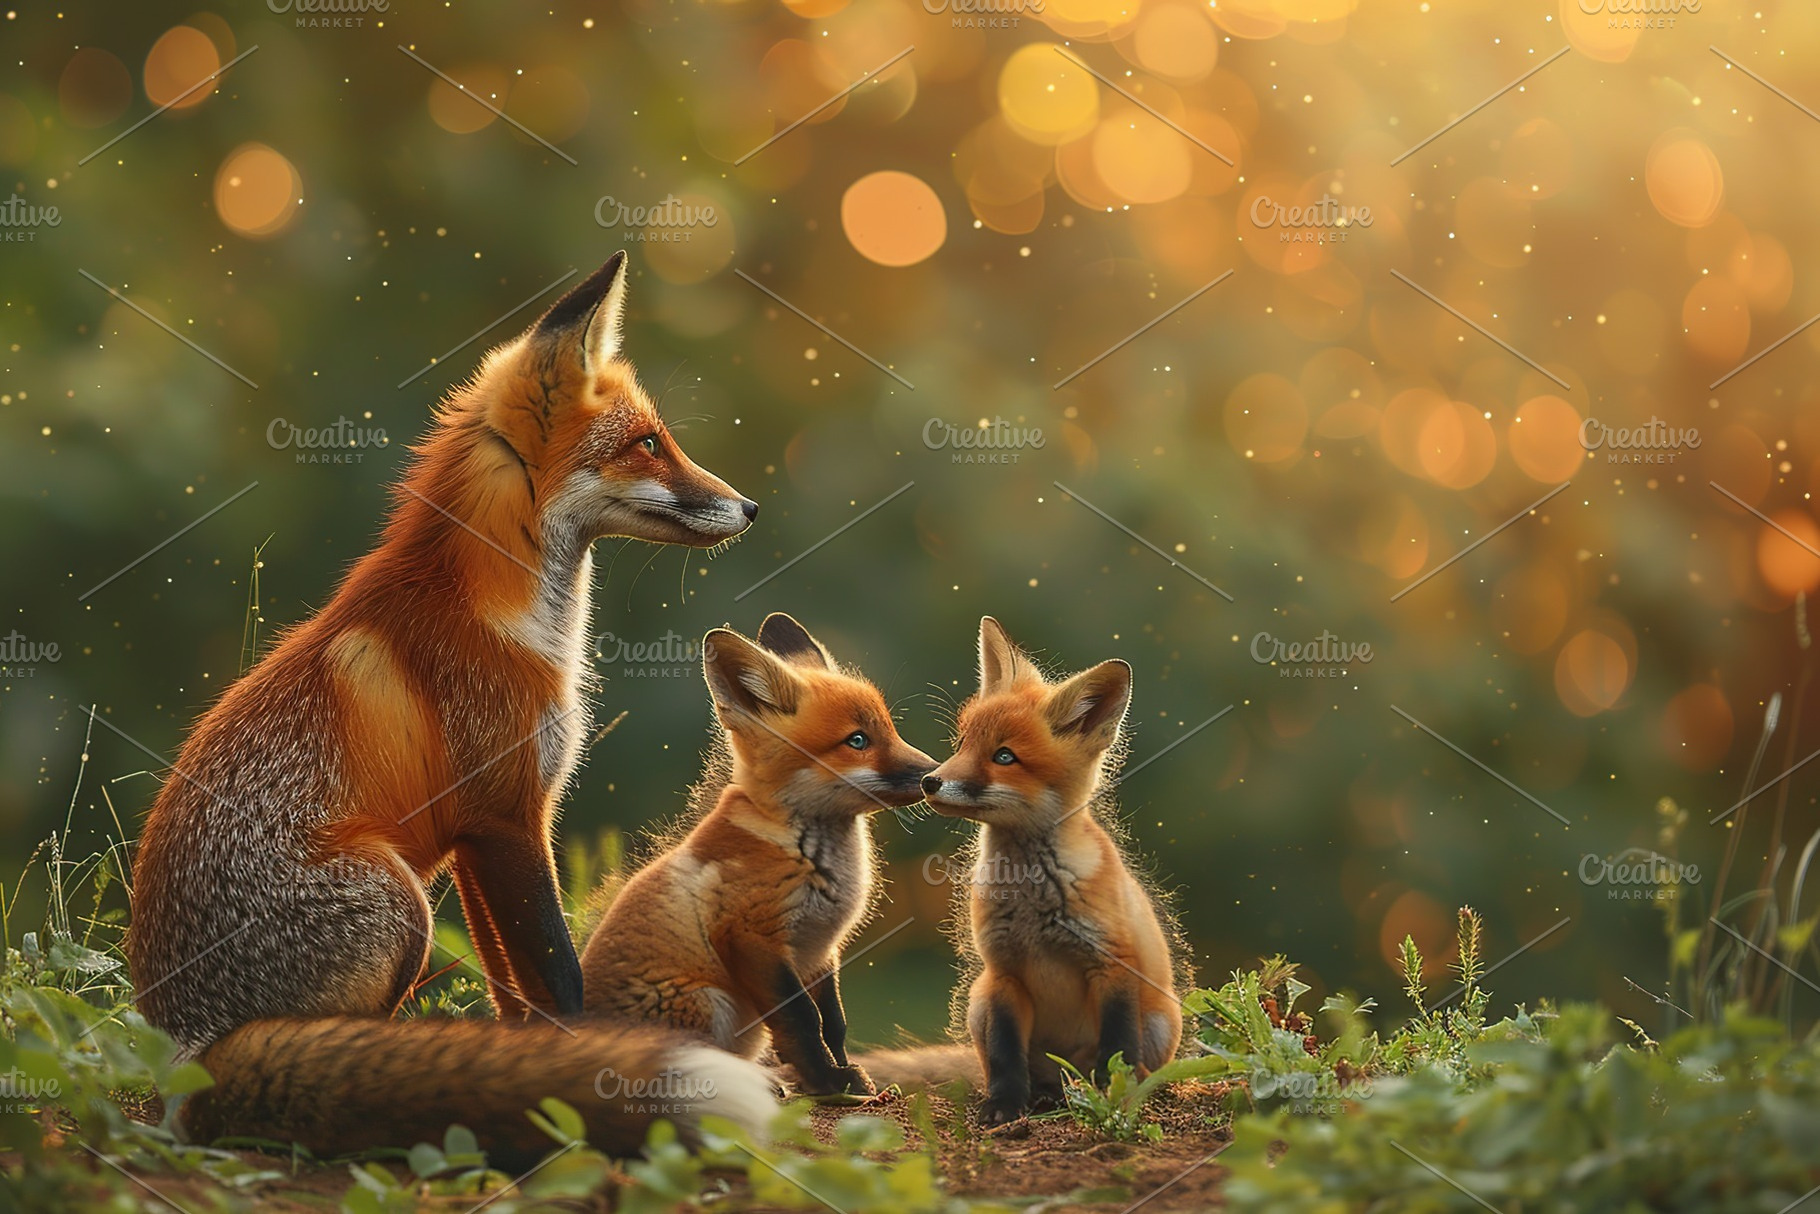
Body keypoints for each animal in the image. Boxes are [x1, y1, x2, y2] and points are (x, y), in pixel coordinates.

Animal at [126, 252, 778, 1164]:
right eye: (649, 443)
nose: (750, 507)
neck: (513, 615)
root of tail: (182, 1058)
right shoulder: (510, 815)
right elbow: (558, 975)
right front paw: (590, 1072)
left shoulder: (479, 835)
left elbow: (516, 994)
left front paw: (543, 1086)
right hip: (398, 901)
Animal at [579, 613, 937, 1097]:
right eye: (858, 741)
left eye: (891, 731)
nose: (933, 775)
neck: (808, 852)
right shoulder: (751, 936)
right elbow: (801, 1021)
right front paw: (826, 1082)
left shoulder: (820, 948)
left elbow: (834, 1024)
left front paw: (847, 1077)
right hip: (708, 1001)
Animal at [864, 617, 1184, 1124]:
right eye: (962, 743)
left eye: (1004, 757)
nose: (930, 781)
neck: (1034, 902)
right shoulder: (1004, 975)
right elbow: (1005, 1054)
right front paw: (1004, 1105)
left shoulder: (1111, 965)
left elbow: (1117, 1050)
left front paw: (1113, 1098)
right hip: (978, 1000)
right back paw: (1044, 1097)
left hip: (1160, 1017)